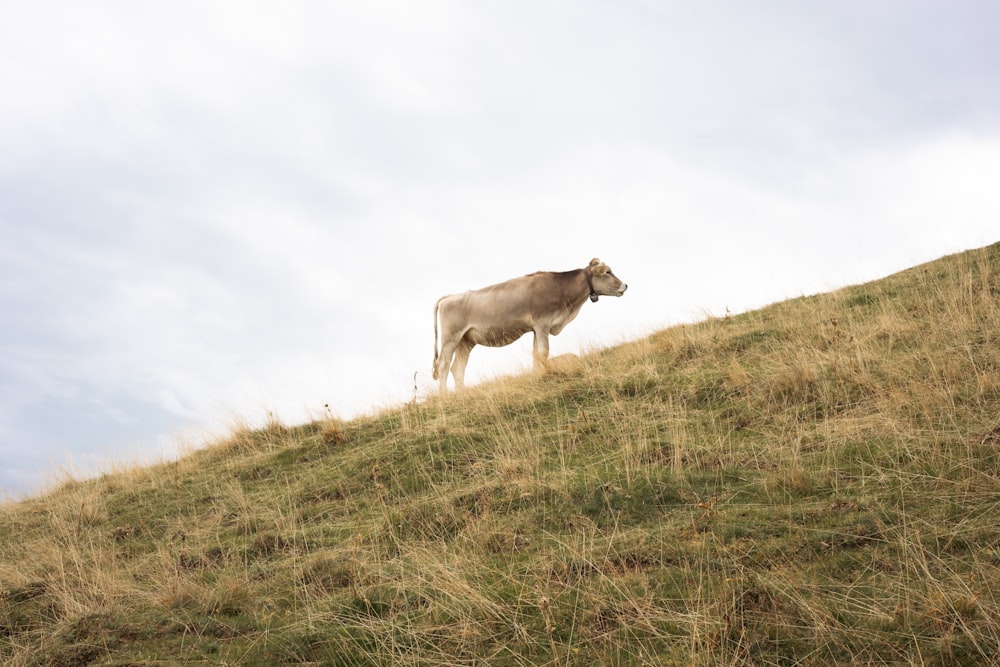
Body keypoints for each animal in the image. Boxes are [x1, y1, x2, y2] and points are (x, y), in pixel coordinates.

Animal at [434, 260, 628, 396]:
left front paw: (537, 376)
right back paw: (444, 396)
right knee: (443, 365)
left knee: (458, 368)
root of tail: (448, 297)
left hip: (466, 340)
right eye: (608, 272)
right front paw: (543, 376)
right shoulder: (542, 323)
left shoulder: (536, 328)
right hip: (450, 338)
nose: (625, 285)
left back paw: (462, 394)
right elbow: (543, 352)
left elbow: (536, 354)